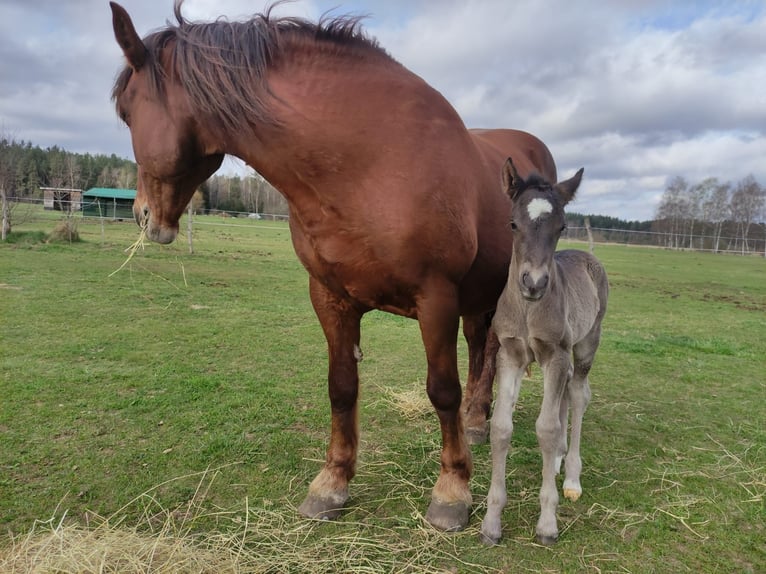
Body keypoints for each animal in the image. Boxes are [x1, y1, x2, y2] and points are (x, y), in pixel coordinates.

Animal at [109, 1, 558, 531]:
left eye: (125, 112)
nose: (143, 216)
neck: (368, 164)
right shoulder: (329, 297)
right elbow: (341, 389)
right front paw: (332, 483)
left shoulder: (437, 300)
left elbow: (441, 390)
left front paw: (452, 491)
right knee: (478, 345)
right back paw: (474, 419)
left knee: (483, 351)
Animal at [479, 158, 609, 545]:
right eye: (512, 223)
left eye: (562, 226)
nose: (534, 284)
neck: (529, 311)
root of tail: (587, 254)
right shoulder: (510, 355)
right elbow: (501, 427)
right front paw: (491, 523)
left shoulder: (556, 354)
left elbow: (547, 429)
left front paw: (548, 522)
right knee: (567, 394)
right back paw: (557, 461)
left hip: (585, 345)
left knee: (578, 394)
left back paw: (571, 477)